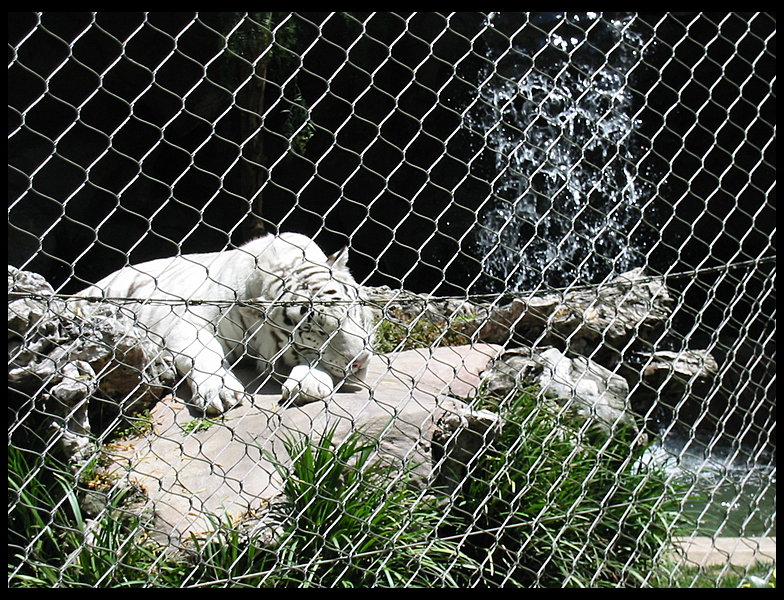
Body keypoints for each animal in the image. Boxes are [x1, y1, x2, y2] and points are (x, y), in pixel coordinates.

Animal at [75, 233, 375, 415]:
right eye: (317, 331)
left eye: (351, 312)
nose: (360, 360)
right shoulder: (186, 322)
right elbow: (204, 352)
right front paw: (219, 391)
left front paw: (309, 382)